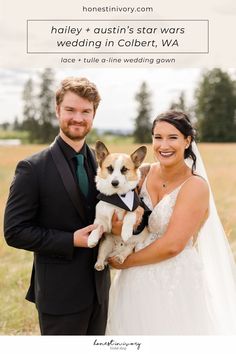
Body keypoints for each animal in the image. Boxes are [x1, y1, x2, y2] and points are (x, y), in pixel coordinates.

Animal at [87, 141, 150, 272]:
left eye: (124, 169)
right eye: (110, 168)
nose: (114, 183)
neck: (117, 197)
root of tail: (115, 252)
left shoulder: (136, 209)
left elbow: (129, 216)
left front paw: (125, 232)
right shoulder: (102, 220)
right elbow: (96, 227)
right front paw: (91, 239)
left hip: (134, 245)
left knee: (126, 252)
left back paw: (119, 257)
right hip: (106, 243)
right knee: (102, 255)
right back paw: (100, 264)